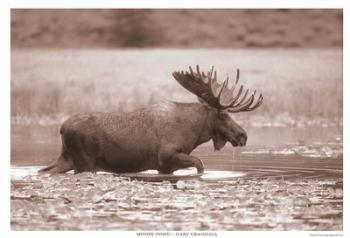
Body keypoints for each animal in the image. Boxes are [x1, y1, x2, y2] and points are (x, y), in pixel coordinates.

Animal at [38, 65, 262, 175]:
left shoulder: (166, 167)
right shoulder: (167, 156)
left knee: (45, 170)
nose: (243, 135)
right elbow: (200, 164)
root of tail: (61, 128)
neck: (194, 133)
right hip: (85, 162)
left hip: (67, 158)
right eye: (223, 115)